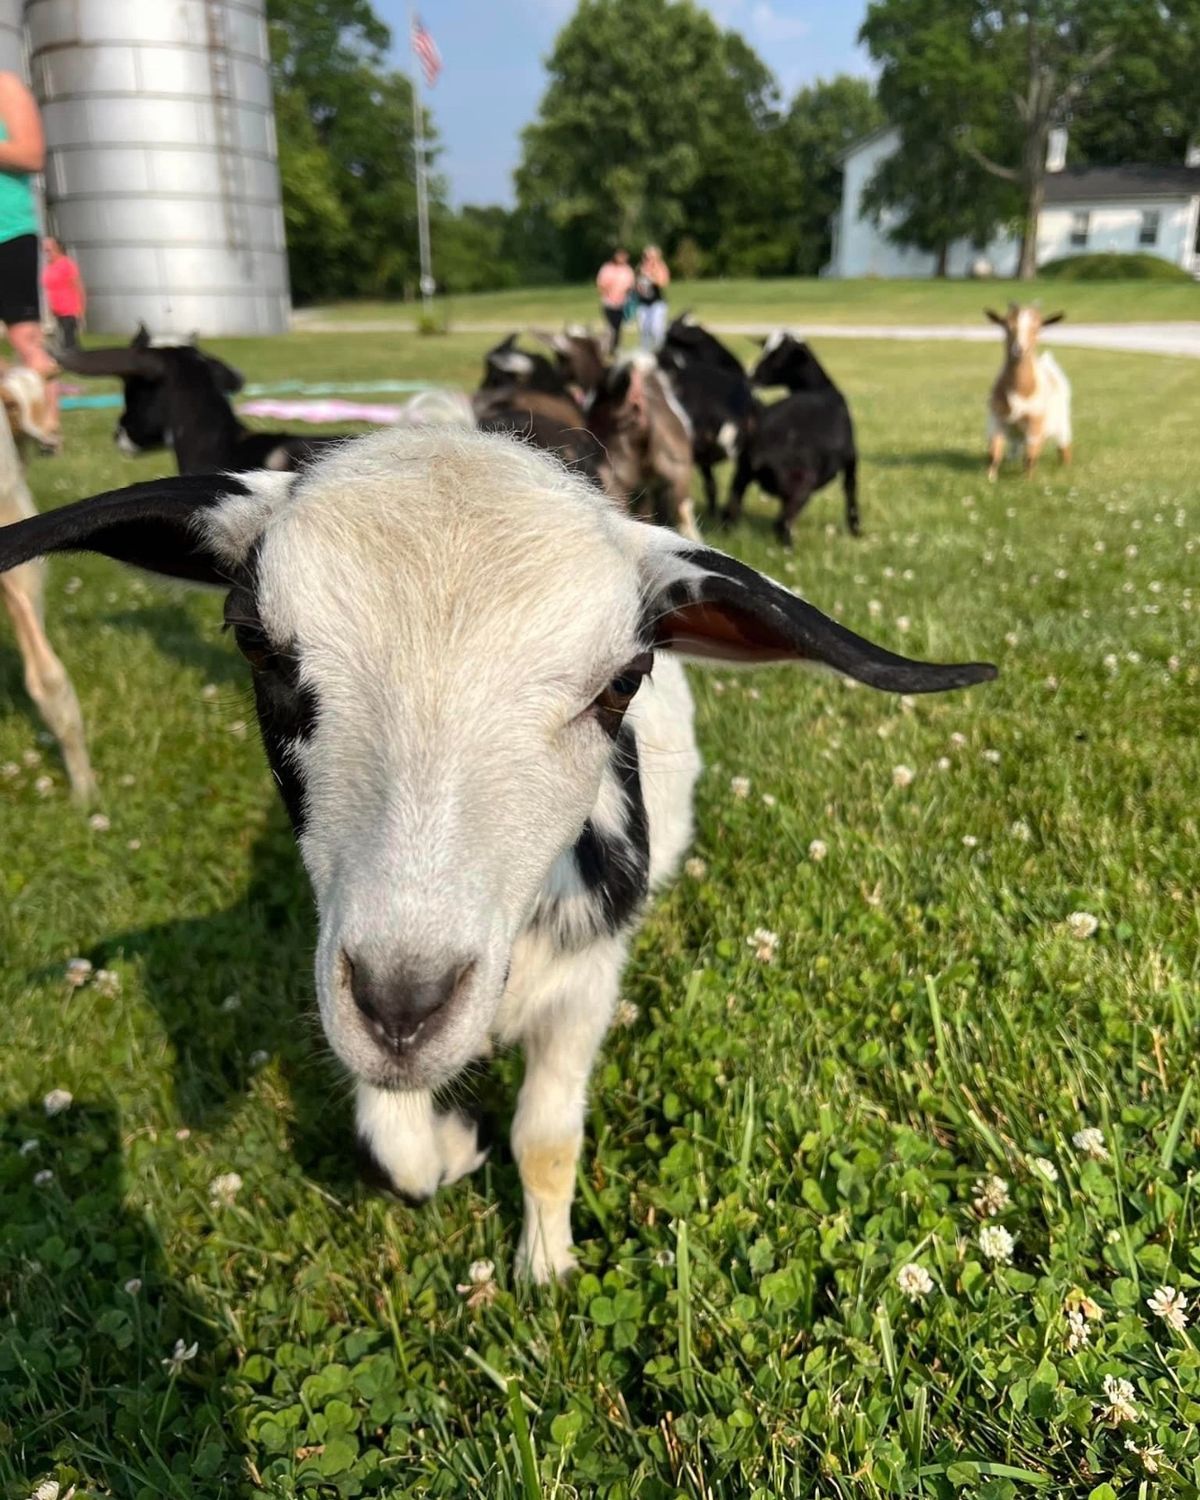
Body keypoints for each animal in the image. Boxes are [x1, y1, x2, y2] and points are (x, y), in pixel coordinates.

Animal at [0, 429, 996, 1284]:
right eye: (254, 641)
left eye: (621, 682)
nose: (404, 1007)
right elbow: (394, 1145)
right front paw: (450, 1147)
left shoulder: (588, 983)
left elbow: (547, 1139)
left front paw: (544, 1268)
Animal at [726, 331, 858, 549]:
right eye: (764, 349)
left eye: (779, 357)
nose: (751, 377)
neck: (819, 387)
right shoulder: (851, 457)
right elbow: (851, 490)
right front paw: (856, 530)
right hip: (800, 482)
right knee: (781, 523)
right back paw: (790, 548)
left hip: (742, 473)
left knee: (731, 510)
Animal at [984, 307, 1068, 483]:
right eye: (1007, 326)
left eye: (1037, 328)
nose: (1019, 349)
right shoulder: (996, 419)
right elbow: (994, 451)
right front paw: (990, 478)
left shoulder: (1035, 422)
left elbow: (1030, 455)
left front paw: (1028, 481)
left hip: (1062, 424)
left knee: (1062, 447)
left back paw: (1065, 466)